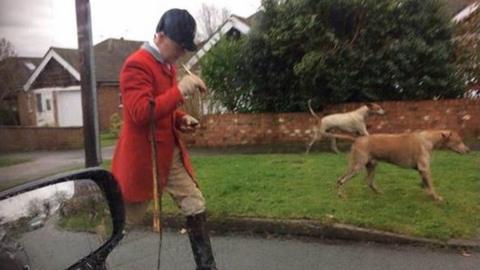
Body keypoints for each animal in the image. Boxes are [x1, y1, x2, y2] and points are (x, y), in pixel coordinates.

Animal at [338, 130, 468, 201]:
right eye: (459, 141)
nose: (468, 150)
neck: (429, 139)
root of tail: (357, 139)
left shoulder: (422, 171)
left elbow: (426, 184)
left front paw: (428, 193)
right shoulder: (424, 169)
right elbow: (431, 186)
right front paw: (436, 197)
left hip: (371, 165)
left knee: (368, 182)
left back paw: (379, 193)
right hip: (357, 166)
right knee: (341, 180)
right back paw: (341, 195)